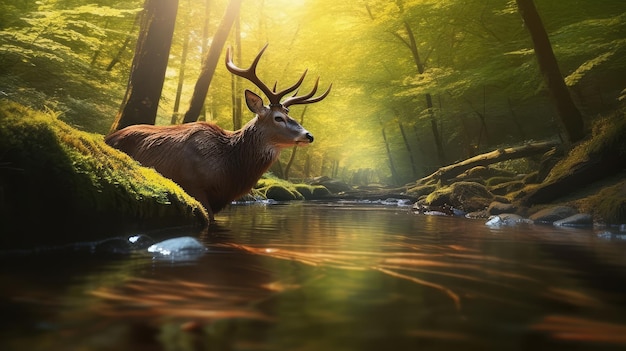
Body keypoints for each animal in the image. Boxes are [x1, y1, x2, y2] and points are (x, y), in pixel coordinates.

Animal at [106, 44, 332, 223]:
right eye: (278, 118)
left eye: (288, 115)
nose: (309, 135)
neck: (228, 169)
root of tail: (108, 137)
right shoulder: (194, 186)